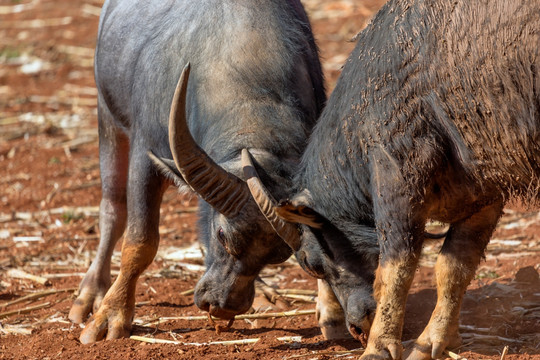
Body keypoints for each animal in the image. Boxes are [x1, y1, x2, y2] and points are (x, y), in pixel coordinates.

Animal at [67, 0, 334, 344]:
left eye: (278, 256)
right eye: (222, 235)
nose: (221, 306)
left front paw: (332, 310)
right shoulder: (145, 153)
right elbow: (140, 243)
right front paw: (111, 315)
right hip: (107, 117)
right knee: (112, 210)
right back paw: (90, 294)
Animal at [246, 0, 540, 358]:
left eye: (311, 263)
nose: (357, 328)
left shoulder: (396, 175)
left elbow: (394, 270)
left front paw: (379, 346)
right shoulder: (484, 194)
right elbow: (454, 267)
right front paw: (433, 340)